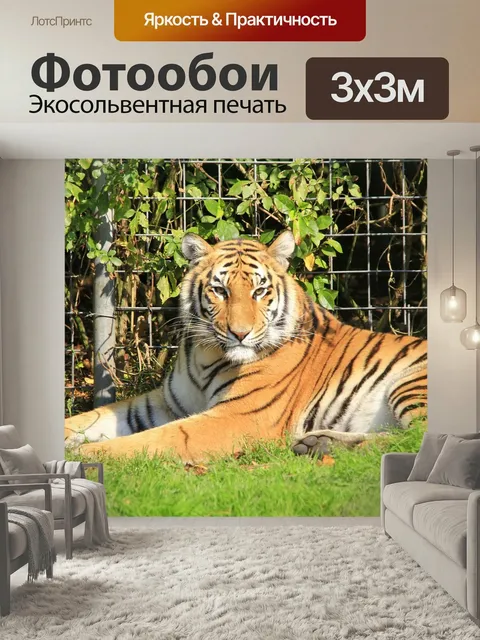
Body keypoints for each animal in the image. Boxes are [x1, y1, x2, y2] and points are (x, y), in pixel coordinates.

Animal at [67, 230, 427, 462]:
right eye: (220, 291)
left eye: (259, 291)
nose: (239, 333)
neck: (206, 354)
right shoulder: (162, 404)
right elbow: (92, 418)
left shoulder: (237, 417)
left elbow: (162, 437)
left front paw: (85, 455)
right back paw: (317, 444)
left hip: (411, 383)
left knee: (416, 440)